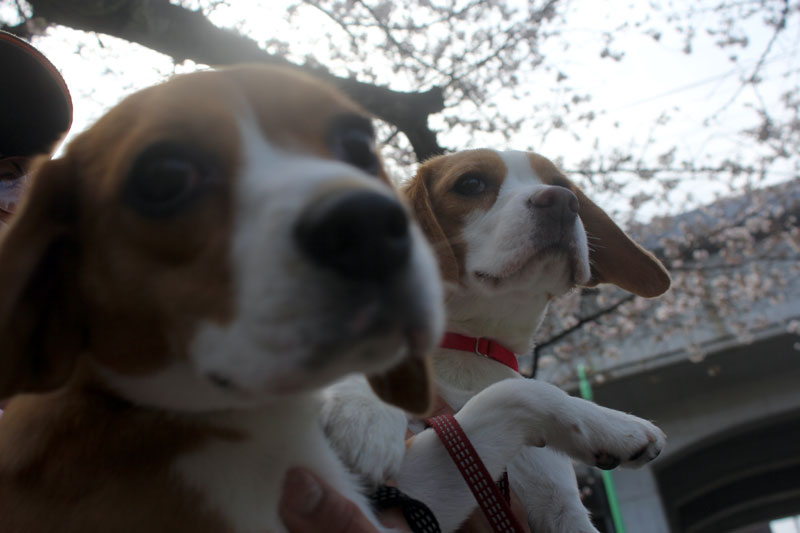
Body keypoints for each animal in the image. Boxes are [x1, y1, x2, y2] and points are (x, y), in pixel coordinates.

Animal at [324, 148, 668, 528]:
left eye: (562, 184)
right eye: (471, 183)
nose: (563, 201)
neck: (471, 346)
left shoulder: (560, 507)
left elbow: (518, 391)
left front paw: (616, 427)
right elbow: (520, 391)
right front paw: (363, 409)